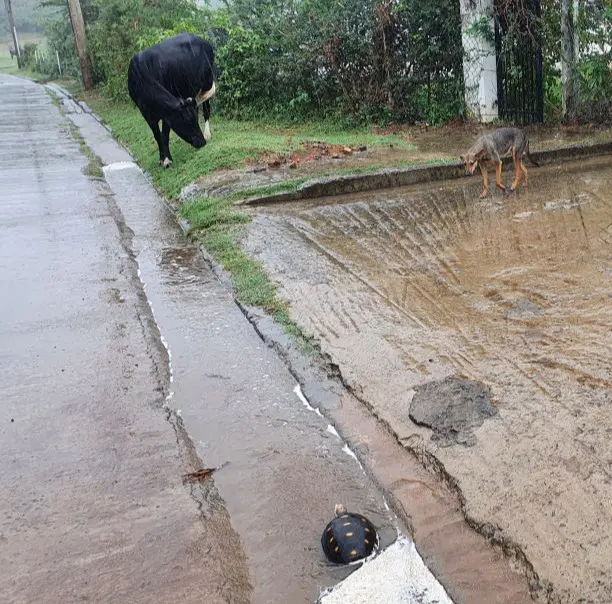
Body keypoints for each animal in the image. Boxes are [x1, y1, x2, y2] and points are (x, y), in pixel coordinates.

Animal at [125, 34, 216, 169]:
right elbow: (157, 136)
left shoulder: (167, 114)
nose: (202, 142)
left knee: (206, 109)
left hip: (207, 82)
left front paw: (167, 160)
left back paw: (207, 134)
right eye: (187, 121)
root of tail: (202, 40)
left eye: (195, 120)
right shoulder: (146, 113)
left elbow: (165, 135)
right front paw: (161, 159)